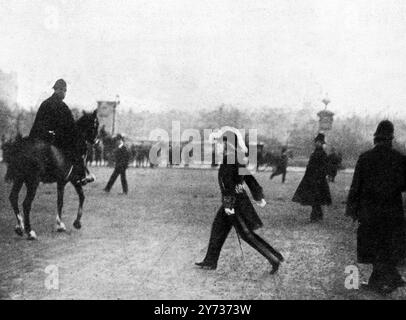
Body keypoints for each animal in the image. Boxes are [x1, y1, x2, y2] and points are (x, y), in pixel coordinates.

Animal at [4, 111, 99, 239]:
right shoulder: (73, 180)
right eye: (95, 125)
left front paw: (61, 224)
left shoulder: (62, 182)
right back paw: (30, 231)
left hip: (20, 179)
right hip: (33, 181)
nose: (96, 142)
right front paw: (75, 223)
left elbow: (61, 201)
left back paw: (20, 226)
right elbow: (79, 197)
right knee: (26, 204)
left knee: (13, 197)